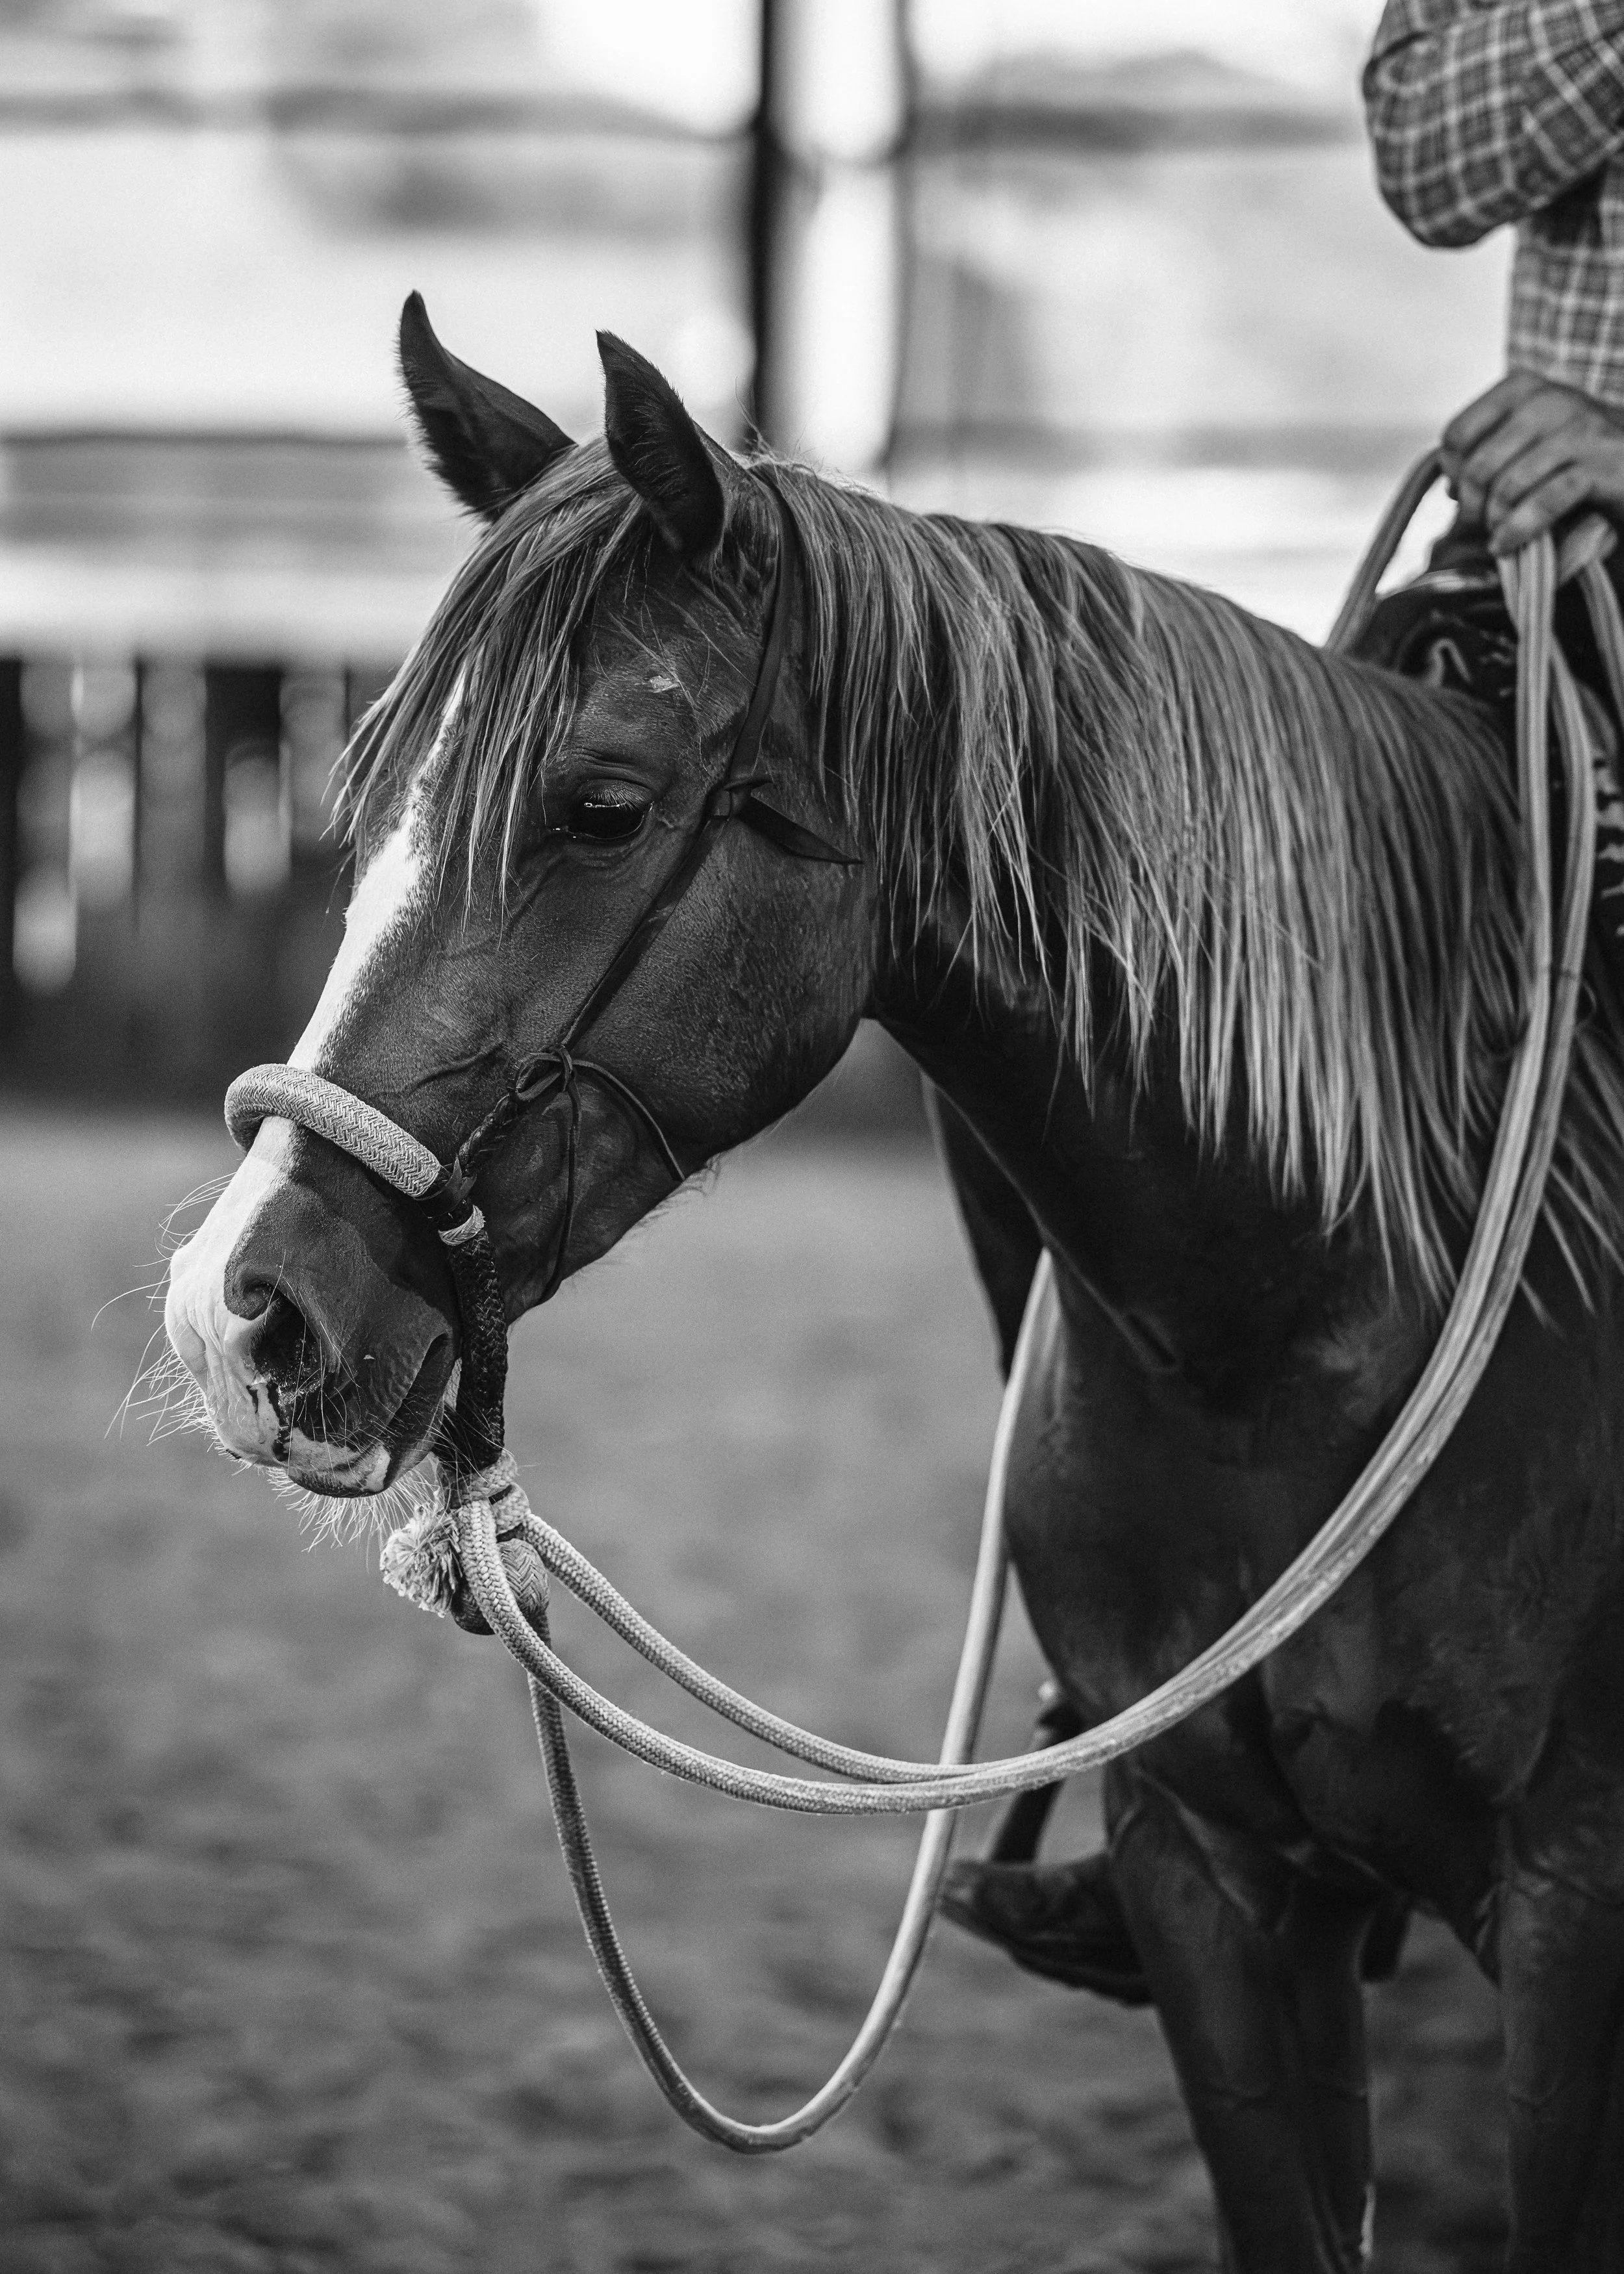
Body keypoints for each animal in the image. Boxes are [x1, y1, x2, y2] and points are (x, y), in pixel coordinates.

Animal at [163, 294, 1624, 2271]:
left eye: (600, 806)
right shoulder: (1215, 1882)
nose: (245, 1305)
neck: (1332, 1321)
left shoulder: (1572, 1913)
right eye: (373, 785)